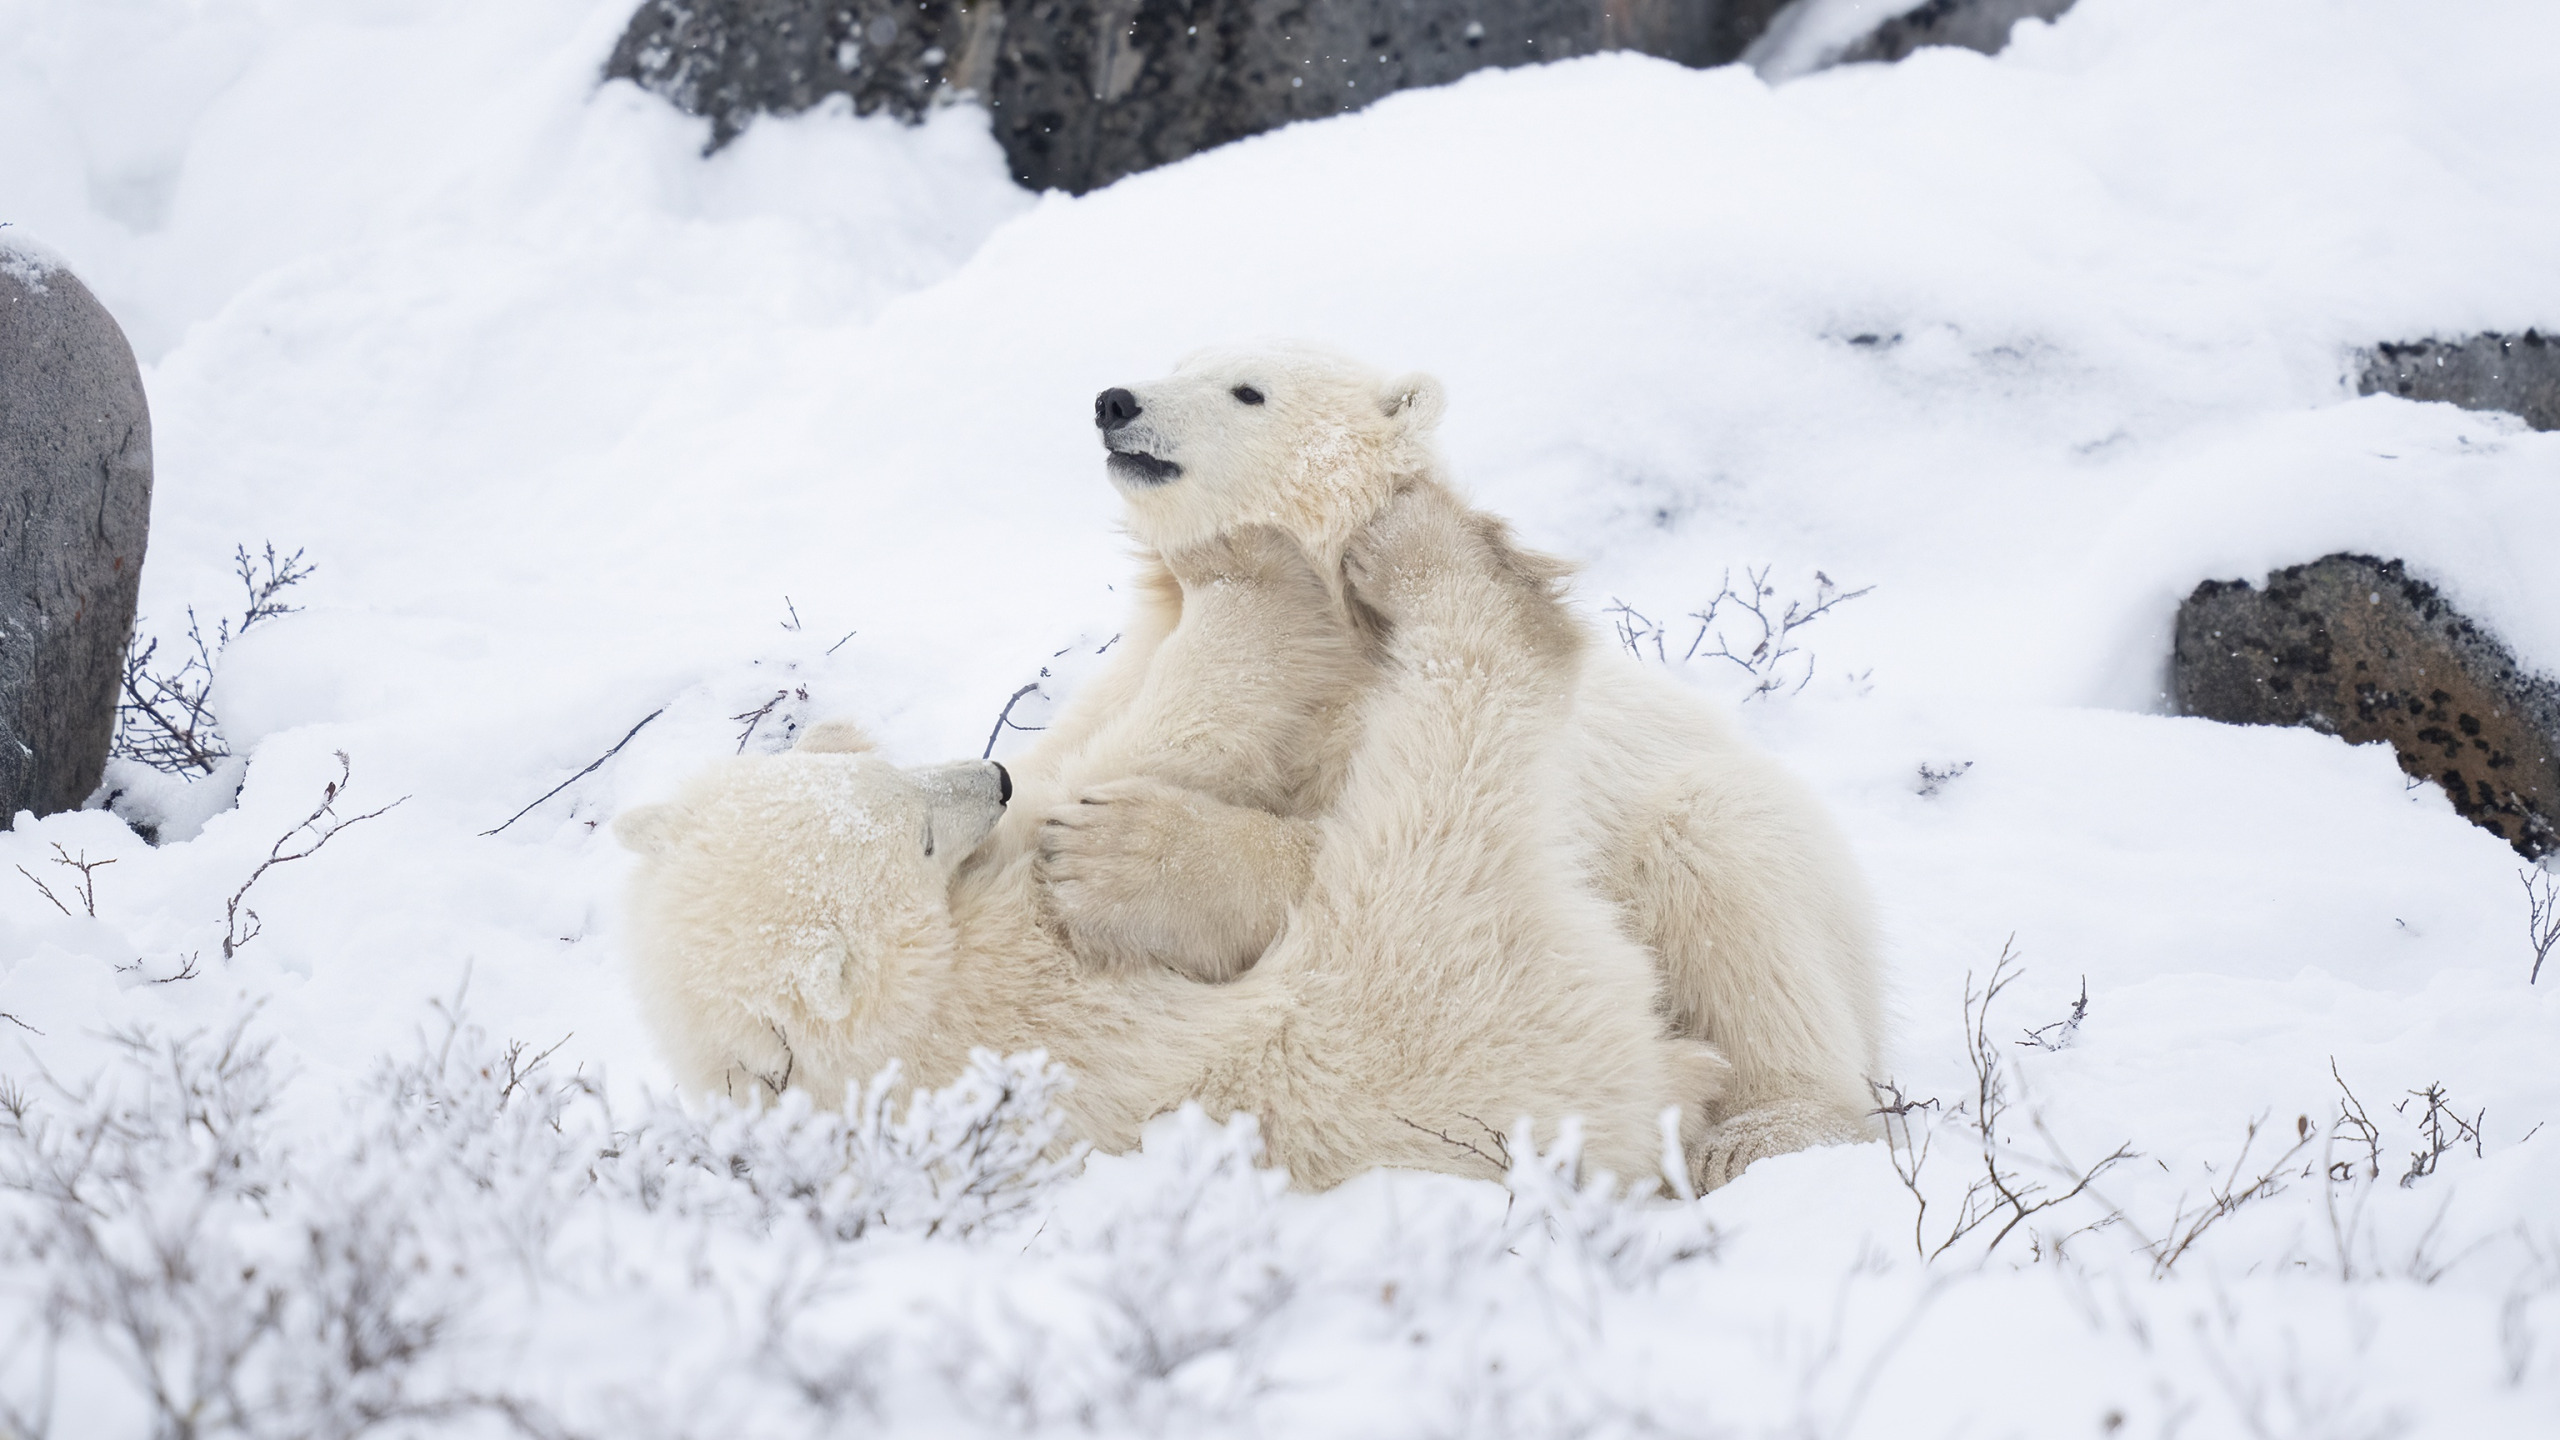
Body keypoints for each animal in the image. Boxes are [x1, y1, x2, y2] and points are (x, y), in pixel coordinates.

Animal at [614, 484, 1720, 1188]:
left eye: (890, 783)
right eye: (920, 837)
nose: (991, 775)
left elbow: (1094, 734)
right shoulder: (1026, 983)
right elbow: (1175, 729)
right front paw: (1243, 562)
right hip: (1441, 963)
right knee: (1454, 763)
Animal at [1013, 340, 1884, 1183]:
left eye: (1247, 390)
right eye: (1177, 364)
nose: (1116, 402)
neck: (1343, 641)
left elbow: (1360, 849)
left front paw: (1125, 852)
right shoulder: (1136, 672)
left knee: (1729, 883)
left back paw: (1764, 1130)